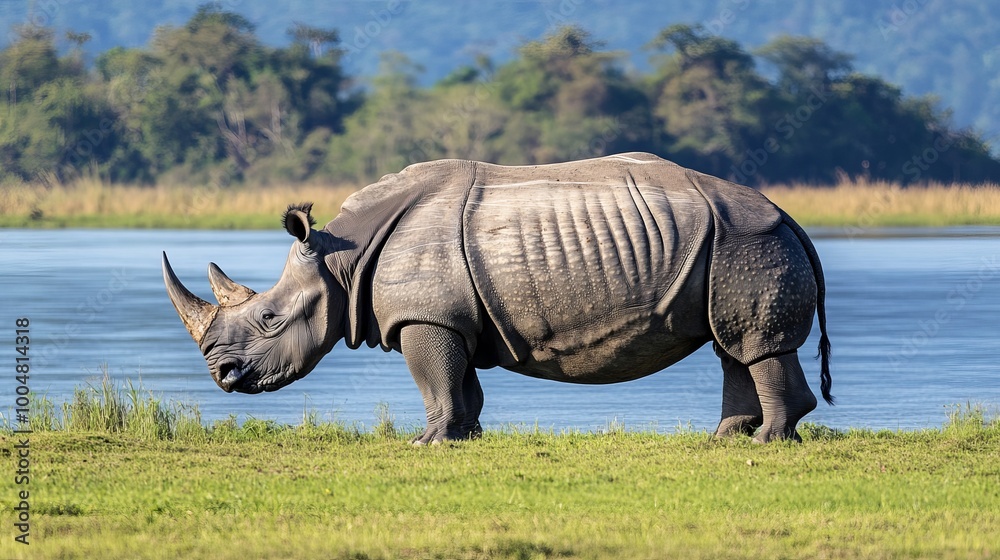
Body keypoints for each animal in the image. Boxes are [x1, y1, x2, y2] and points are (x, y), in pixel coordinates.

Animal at [163, 152, 832, 444]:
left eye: (270, 318)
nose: (223, 375)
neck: (341, 261)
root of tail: (789, 214)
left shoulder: (425, 317)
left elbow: (433, 378)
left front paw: (427, 444)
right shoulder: (454, 318)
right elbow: (460, 382)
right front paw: (466, 438)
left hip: (747, 241)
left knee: (751, 342)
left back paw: (767, 441)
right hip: (735, 245)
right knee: (731, 341)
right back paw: (727, 438)